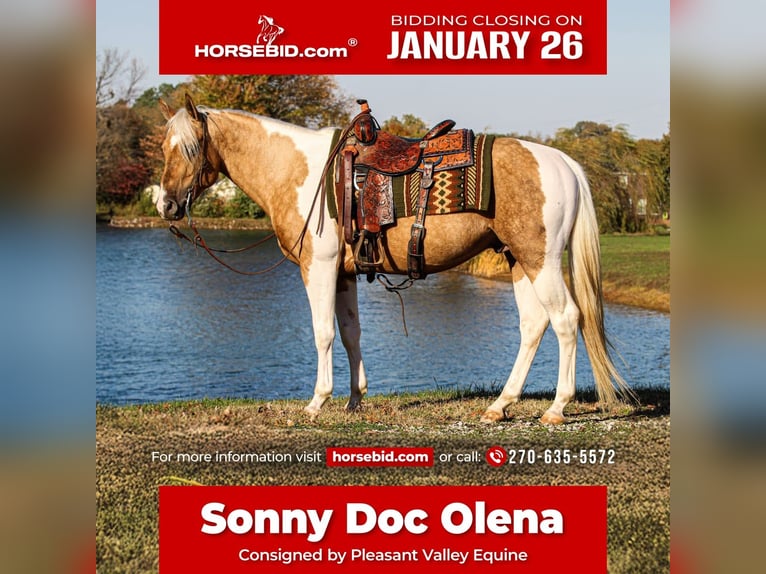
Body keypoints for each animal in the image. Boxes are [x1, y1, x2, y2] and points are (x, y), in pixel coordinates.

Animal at [156, 94, 634, 424]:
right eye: (164, 147)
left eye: (188, 148)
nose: (165, 205)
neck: (298, 172)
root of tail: (563, 162)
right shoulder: (344, 274)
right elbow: (351, 334)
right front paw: (354, 399)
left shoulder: (319, 267)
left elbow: (323, 334)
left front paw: (317, 402)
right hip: (518, 260)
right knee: (534, 325)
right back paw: (500, 405)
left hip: (542, 261)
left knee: (567, 320)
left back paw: (556, 408)